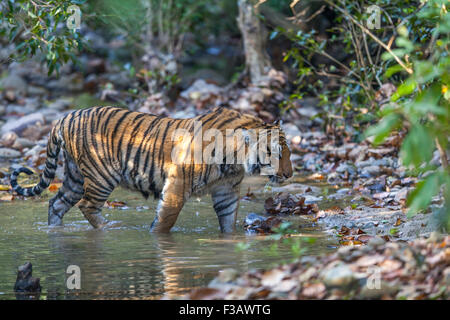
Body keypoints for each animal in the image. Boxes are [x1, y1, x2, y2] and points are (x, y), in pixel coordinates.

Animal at [10, 106, 294, 234]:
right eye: (277, 154)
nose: (289, 174)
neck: (234, 161)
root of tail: (65, 116)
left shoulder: (226, 191)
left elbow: (228, 221)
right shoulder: (178, 183)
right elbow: (166, 219)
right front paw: (155, 235)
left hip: (75, 177)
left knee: (56, 204)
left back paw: (55, 231)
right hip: (101, 175)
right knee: (87, 206)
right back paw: (109, 228)